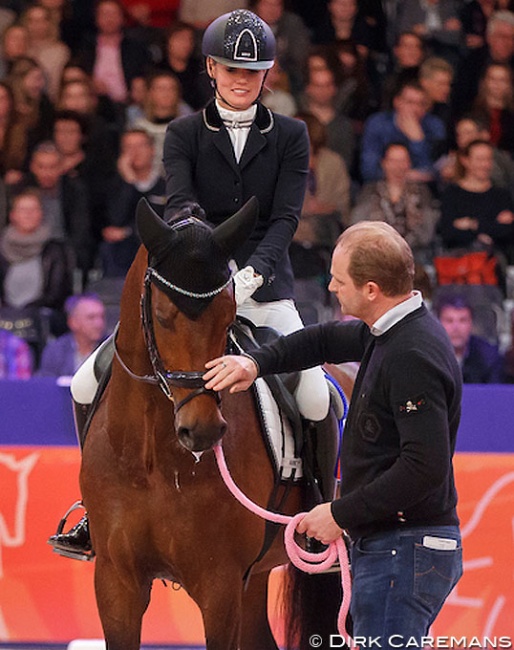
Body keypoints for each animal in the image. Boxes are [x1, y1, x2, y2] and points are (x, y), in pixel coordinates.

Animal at [80, 197, 350, 648]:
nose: (202, 429)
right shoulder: (116, 581)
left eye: (227, 316)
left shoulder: (219, 585)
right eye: (161, 314)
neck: (154, 457)